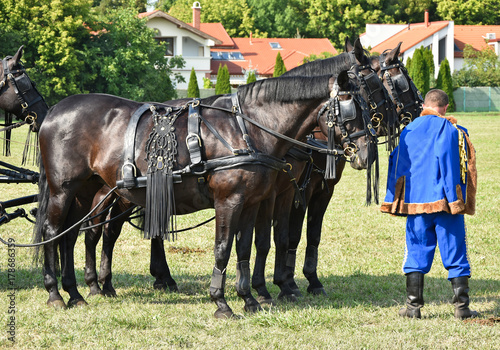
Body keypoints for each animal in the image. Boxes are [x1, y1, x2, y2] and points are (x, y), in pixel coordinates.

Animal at [35, 70, 372, 318]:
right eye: (351, 109)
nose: (365, 155)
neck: (248, 128)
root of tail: (54, 111)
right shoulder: (230, 201)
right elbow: (223, 249)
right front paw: (221, 303)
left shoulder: (252, 203)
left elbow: (245, 249)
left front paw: (249, 299)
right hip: (65, 190)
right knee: (53, 232)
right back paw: (55, 293)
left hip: (88, 192)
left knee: (69, 235)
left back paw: (76, 293)